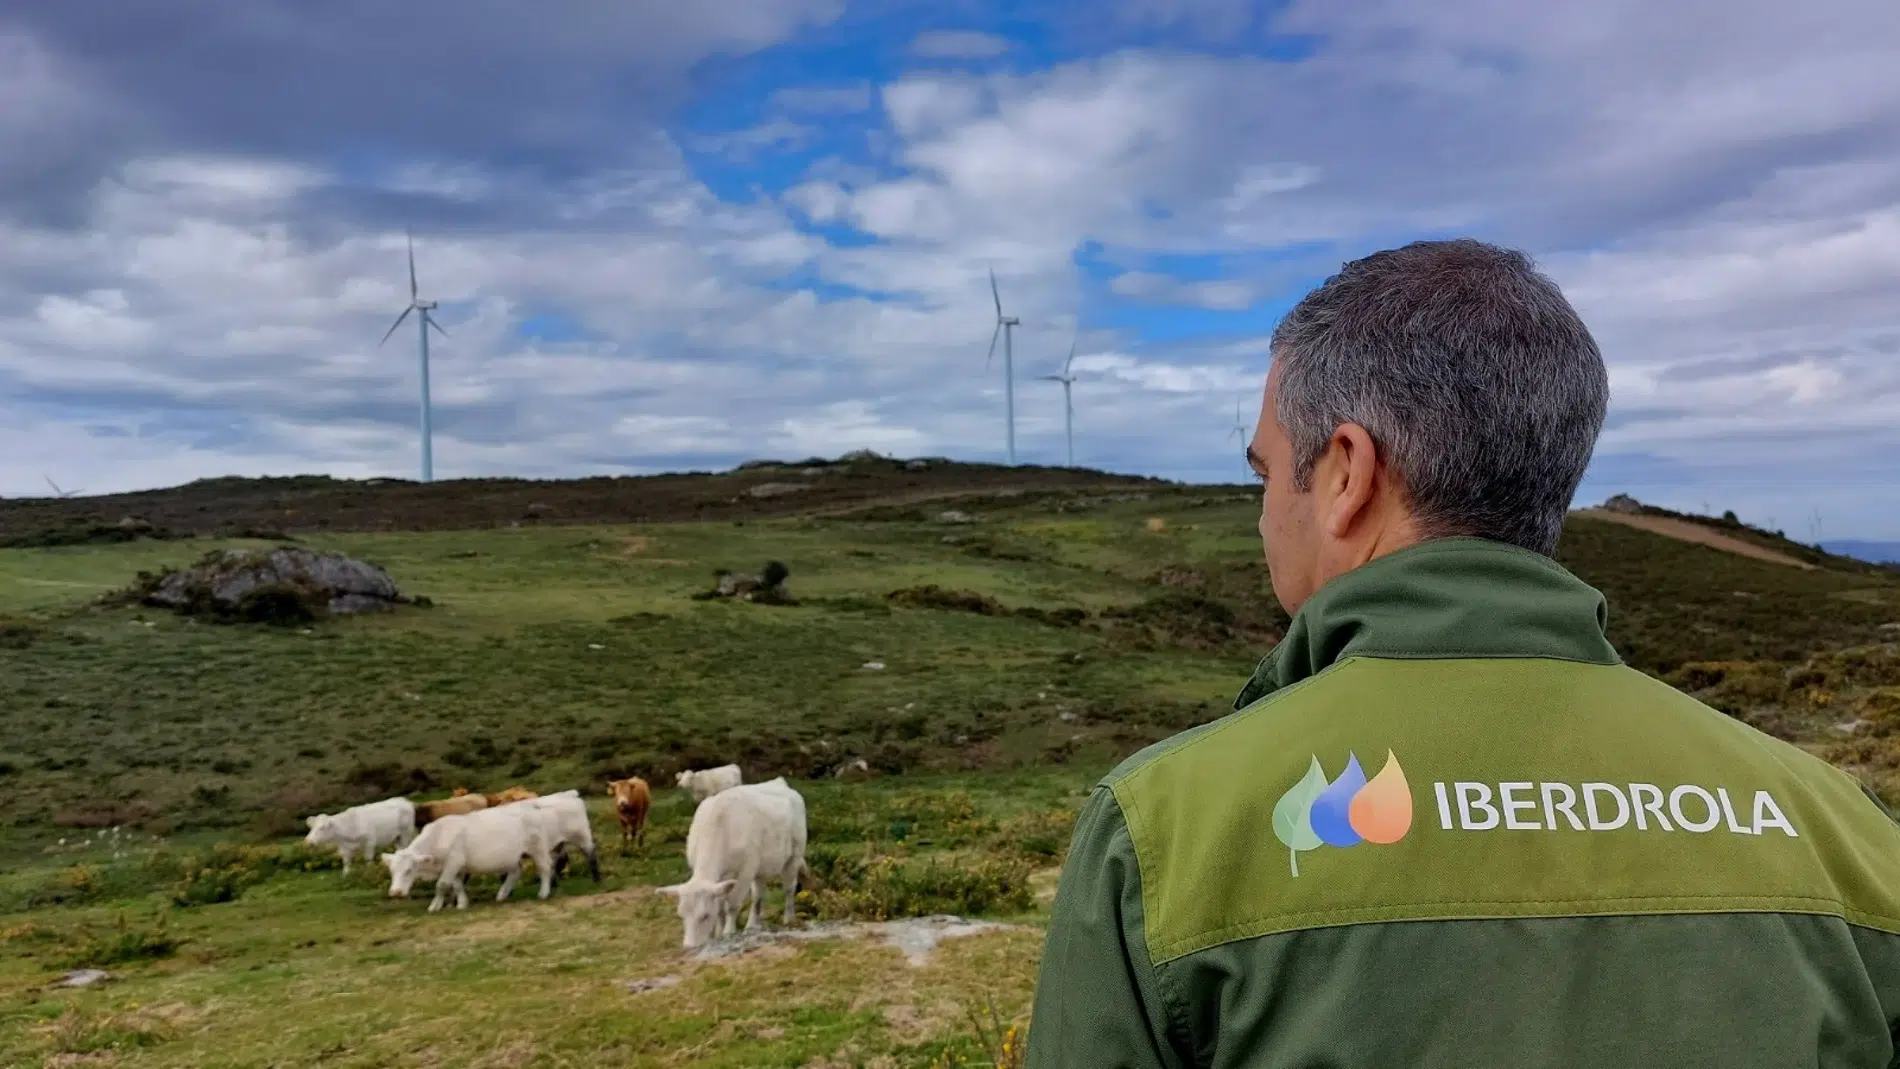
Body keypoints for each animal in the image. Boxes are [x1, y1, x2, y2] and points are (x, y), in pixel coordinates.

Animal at [380, 805, 554, 911]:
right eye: (392, 871)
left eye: (409, 870)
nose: (395, 892)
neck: (438, 836)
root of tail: (531, 808)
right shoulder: (456, 867)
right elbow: (457, 885)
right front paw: (462, 903)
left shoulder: (453, 862)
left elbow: (441, 885)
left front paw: (435, 906)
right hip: (512, 857)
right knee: (516, 872)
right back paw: (502, 895)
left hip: (538, 849)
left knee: (544, 868)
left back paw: (543, 893)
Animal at [657, 774, 805, 949]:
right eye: (681, 915)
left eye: (705, 915)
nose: (689, 947)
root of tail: (779, 782)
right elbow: (720, 907)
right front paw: (718, 934)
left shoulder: (745, 871)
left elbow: (732, 905)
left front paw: (728, 932)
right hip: (761, 867)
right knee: (758, 894)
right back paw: (752, 926)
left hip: (794, 856)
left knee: (789, 888)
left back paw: (788, 918)